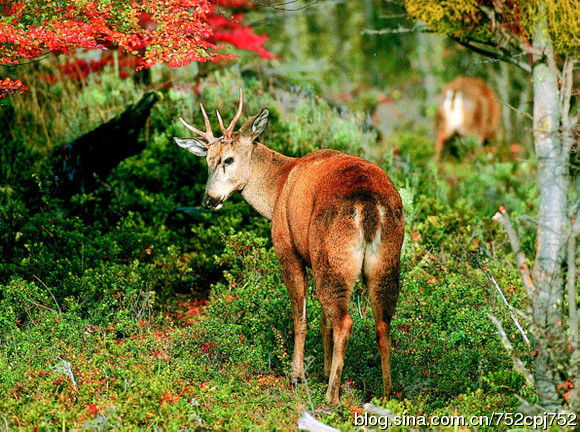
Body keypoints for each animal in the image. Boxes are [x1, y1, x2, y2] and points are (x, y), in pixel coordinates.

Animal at [174, 88, 406, 404]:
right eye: (207, 161)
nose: (208, 200)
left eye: (229, 159)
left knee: (344, 322)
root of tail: (369, 205)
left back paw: (331, 398)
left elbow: (300, 317)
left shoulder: (289, 250)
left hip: (333, 256)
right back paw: (385, 394)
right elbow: (322, 320)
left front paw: (297, 374)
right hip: (383, 261)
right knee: (381, 324)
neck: (277, 188)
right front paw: (322, 370)